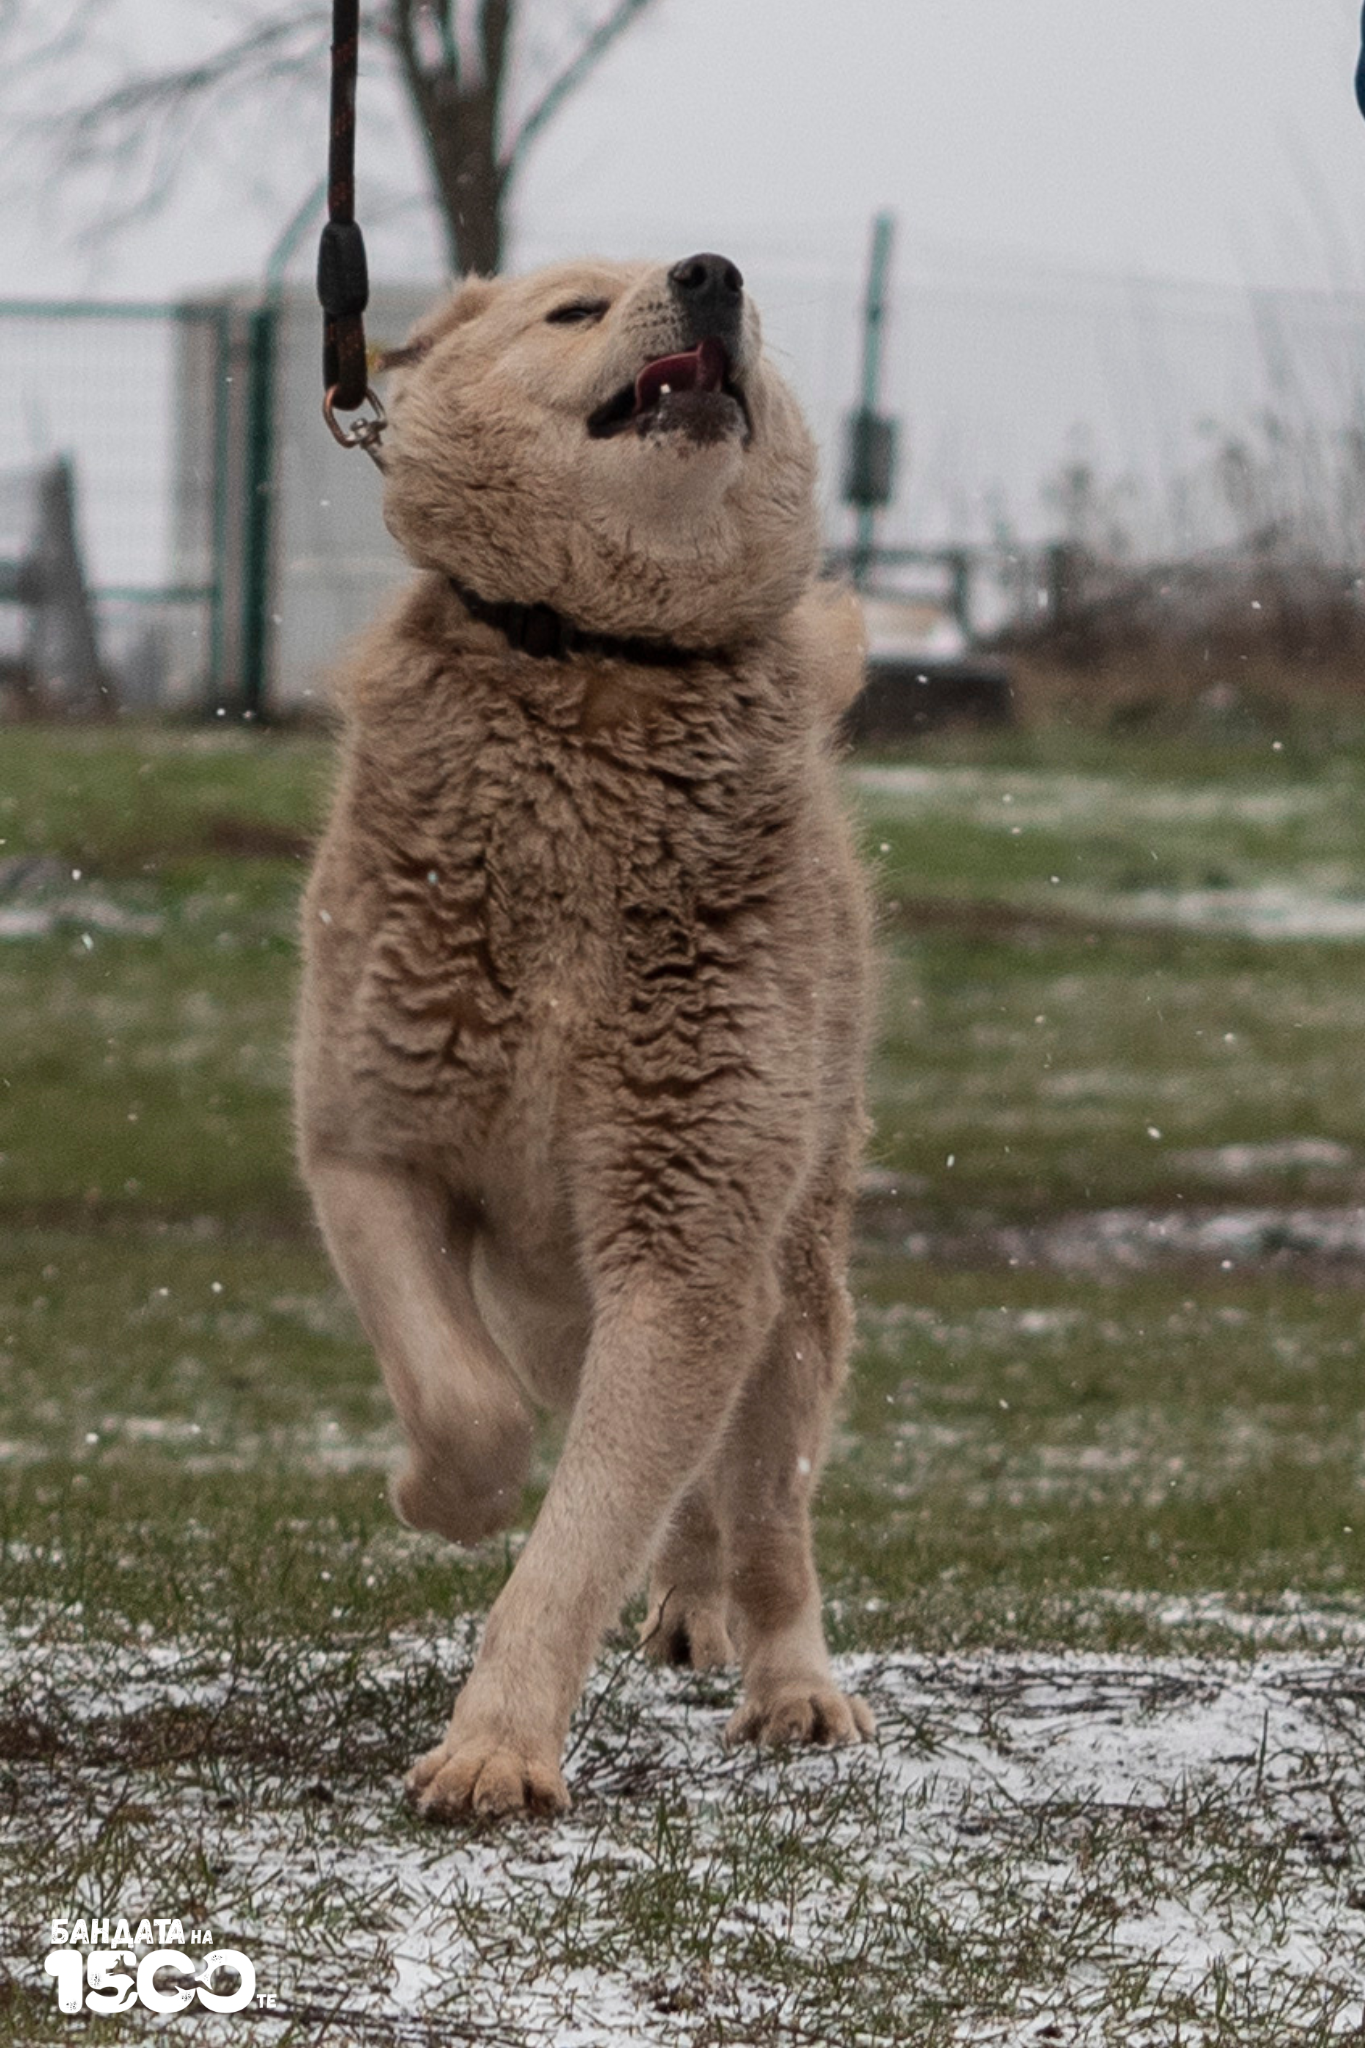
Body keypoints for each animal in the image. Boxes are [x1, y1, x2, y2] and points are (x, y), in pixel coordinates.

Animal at [294, 252, 874, 1818]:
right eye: (571, 311)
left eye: (743, 304)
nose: (712, 273)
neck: (598, 666)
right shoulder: (368, 1149)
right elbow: (469, 1408)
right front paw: (433, 1495)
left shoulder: (692, 1252)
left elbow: (579, 1538)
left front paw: (496, 1746)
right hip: (561, 1300)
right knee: (667, 1486)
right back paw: (683, 1600)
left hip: (790, 1287)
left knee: (766, 1514)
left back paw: (789, 1680)